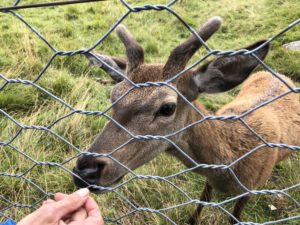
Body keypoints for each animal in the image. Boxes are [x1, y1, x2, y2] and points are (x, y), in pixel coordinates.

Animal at [72, 16, 300, 225]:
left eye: (167, 108)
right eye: (113, 95)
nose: (85, 172)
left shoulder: (250, 189)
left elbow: (234, 217)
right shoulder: (210, 182)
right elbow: (201, 202)